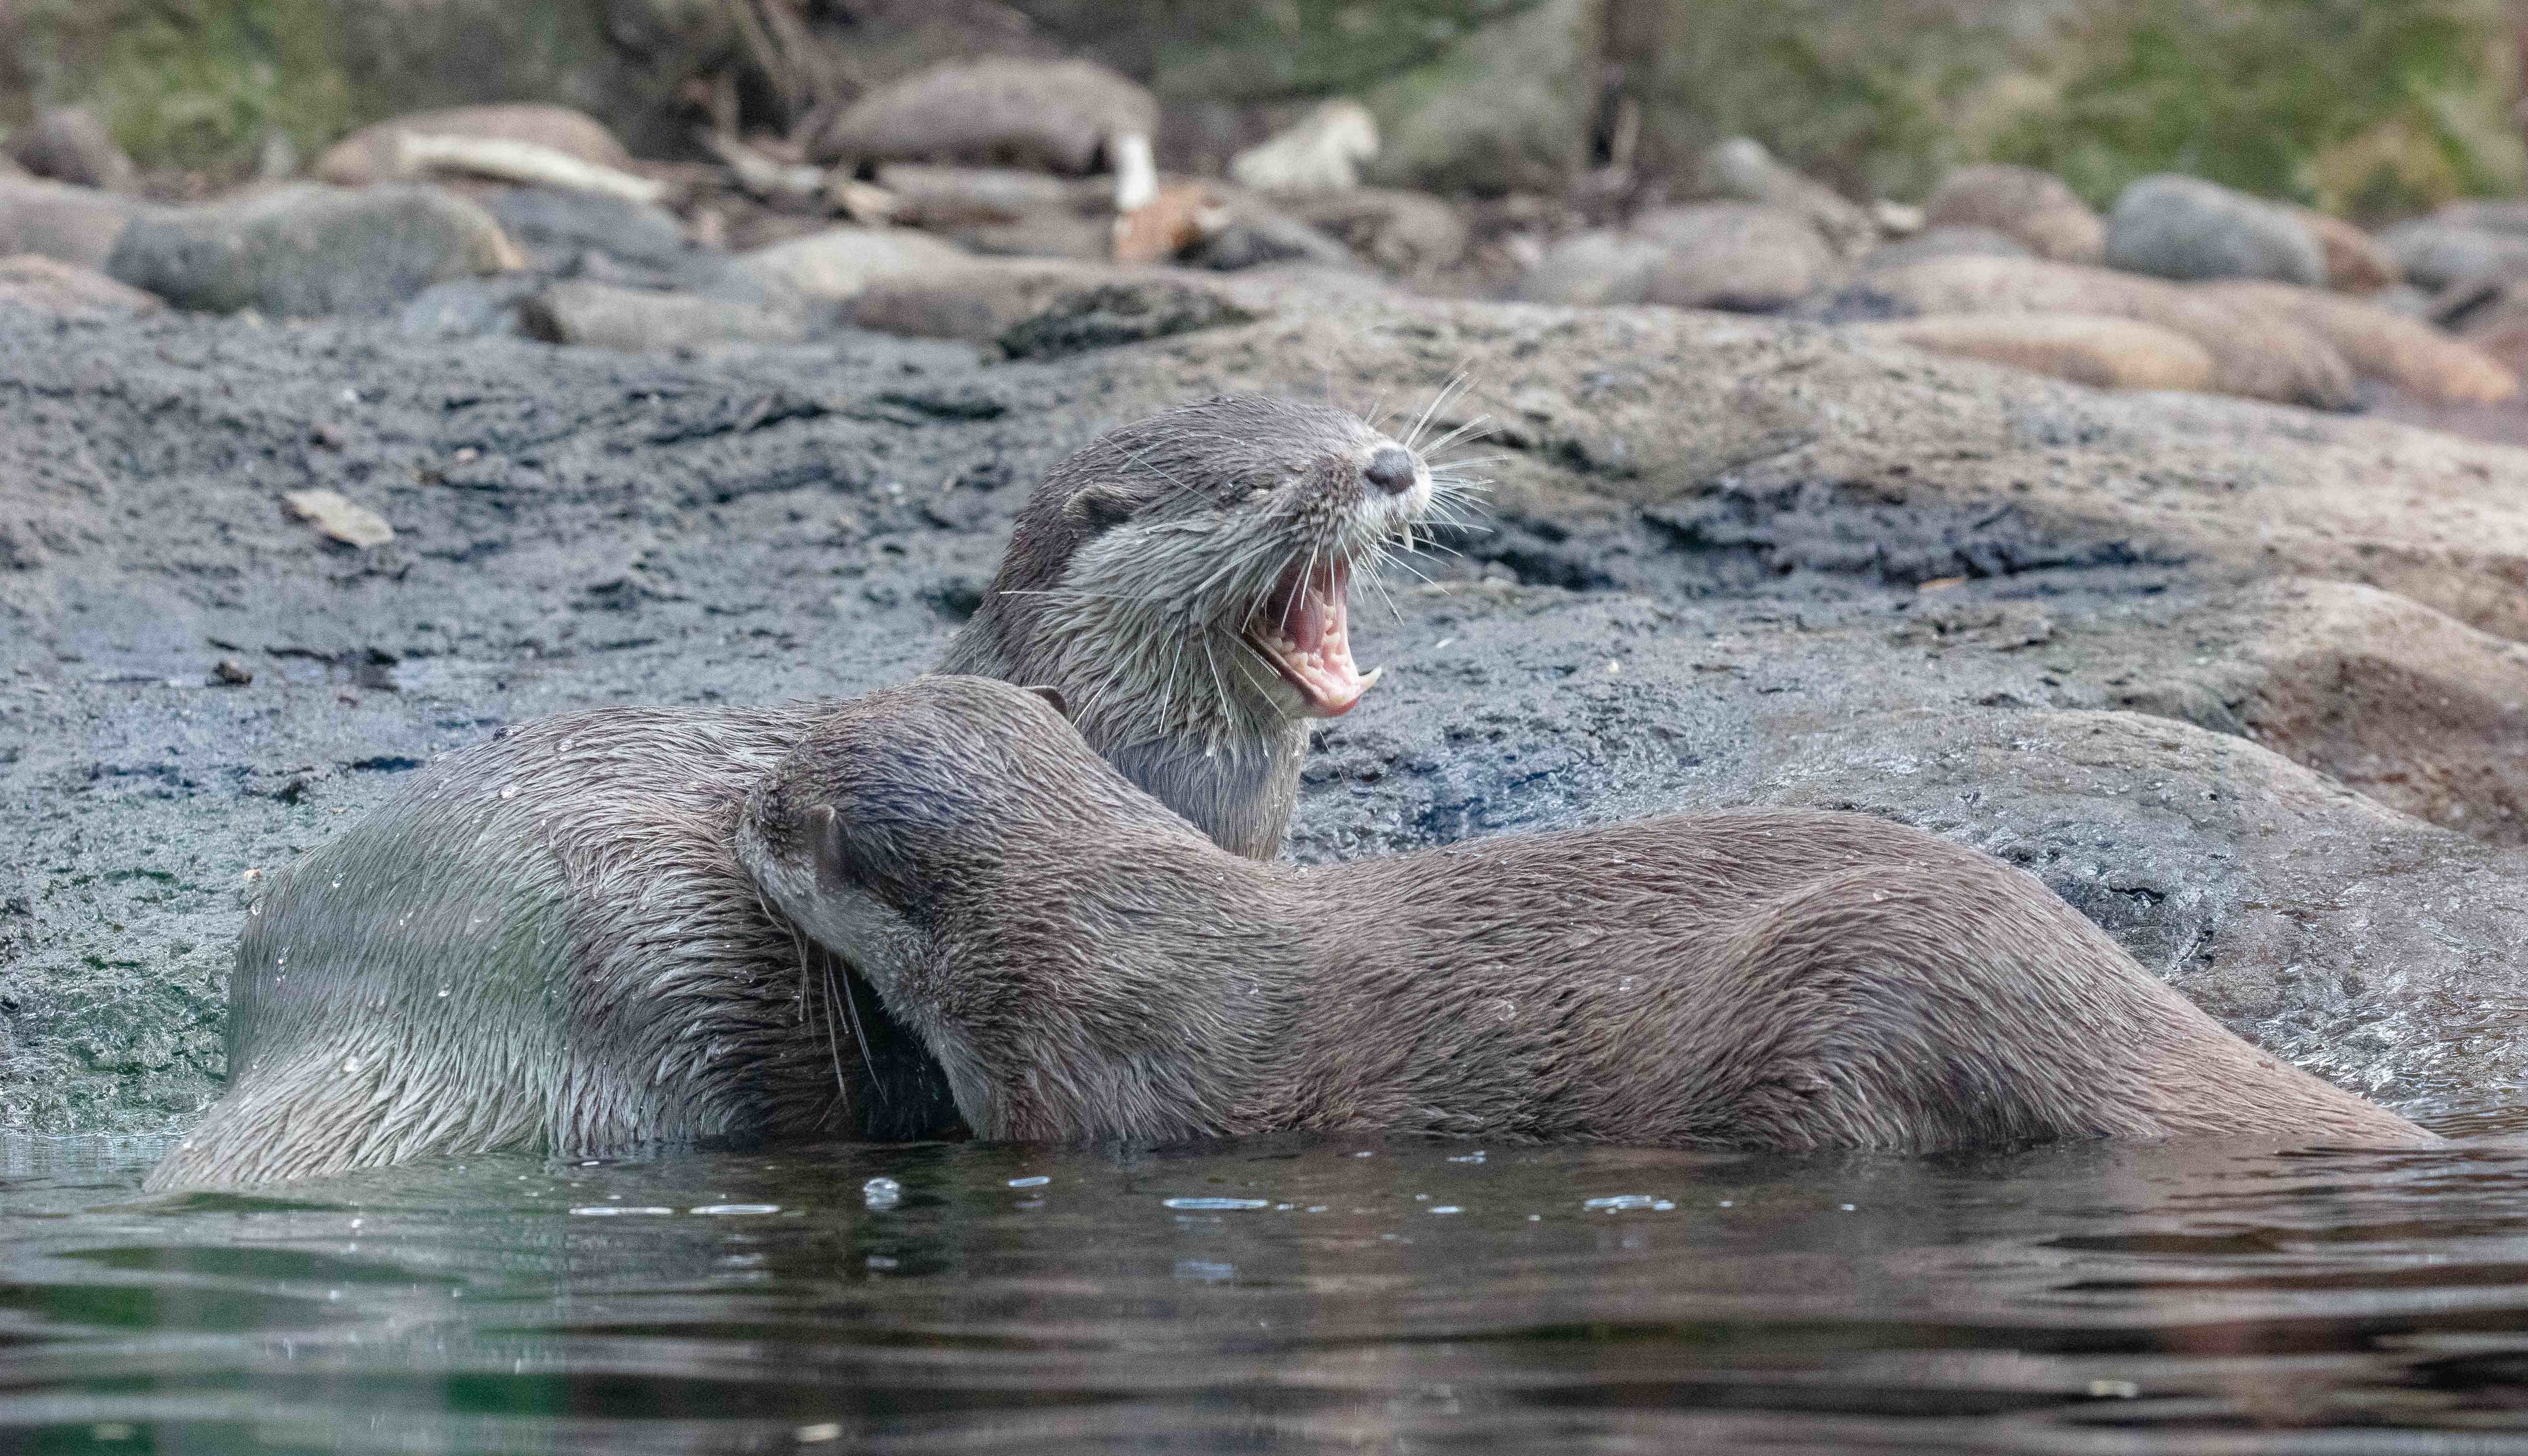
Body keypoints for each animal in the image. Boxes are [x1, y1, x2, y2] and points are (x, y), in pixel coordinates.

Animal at [739, 676, 2430, 1153]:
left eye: (771, 806)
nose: (732, 805)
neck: (1095, 924)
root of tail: (2095, 989)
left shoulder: (1082, 1081)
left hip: (1861, 1001)